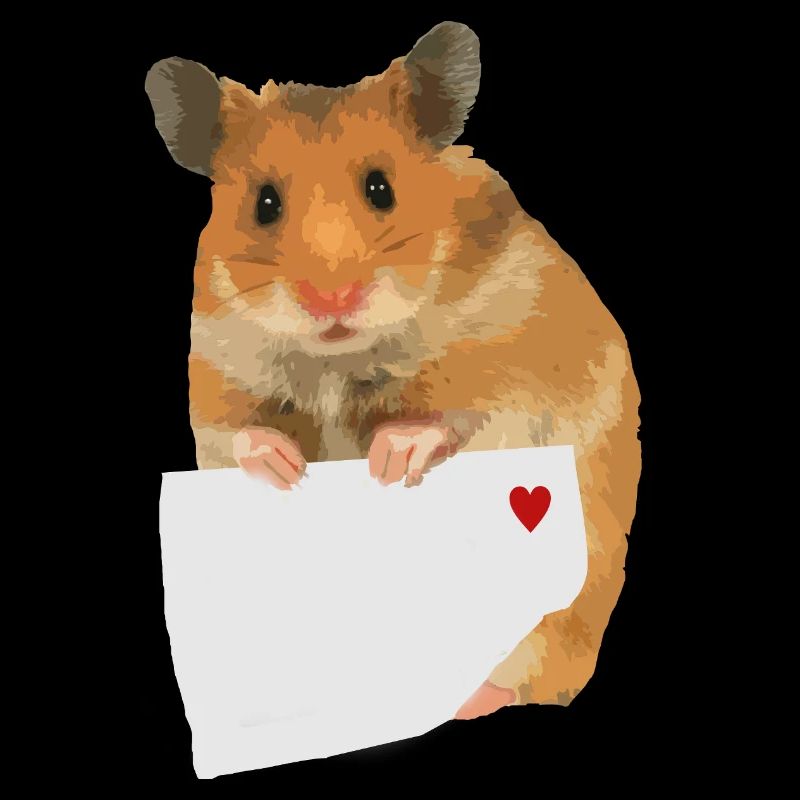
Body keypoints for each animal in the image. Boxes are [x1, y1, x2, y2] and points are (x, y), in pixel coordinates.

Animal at [145, 21, 641, 718]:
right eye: (264, 203)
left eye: (381, 188)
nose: (331, 300)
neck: (340, 357)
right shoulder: (215, 372)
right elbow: (238, 434)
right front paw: (288, 469)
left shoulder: (522, 366)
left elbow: (463, 416)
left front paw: (387, 458)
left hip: (567, 612)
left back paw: (467, 699)